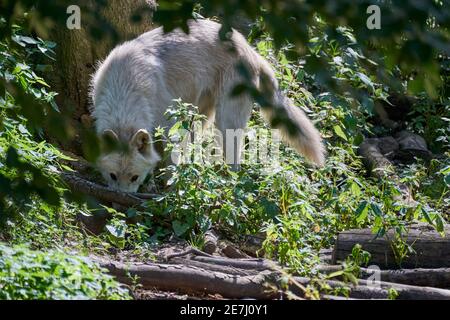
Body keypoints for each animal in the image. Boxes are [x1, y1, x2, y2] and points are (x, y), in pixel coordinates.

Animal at [90, 18, 324, 191]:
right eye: (112, 176)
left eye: (134, 177)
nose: (123, 200)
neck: (126, 88)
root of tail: (250, 50)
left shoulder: (168, 125)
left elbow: (170, 161)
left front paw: (170, 189)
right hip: (199, 114)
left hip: (225, 121)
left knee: (234, 160)